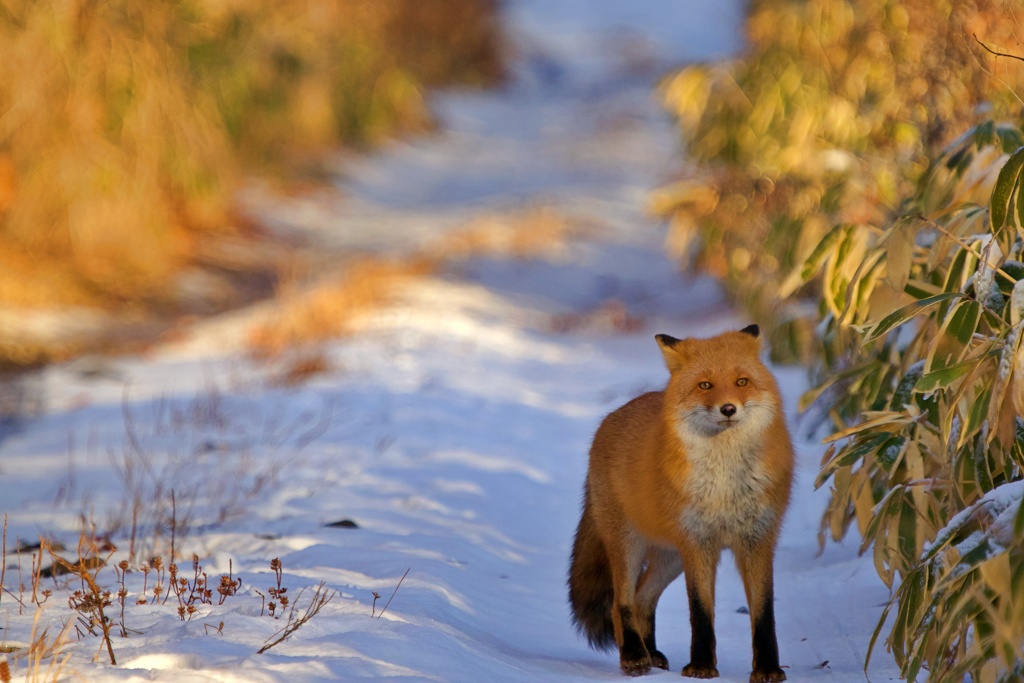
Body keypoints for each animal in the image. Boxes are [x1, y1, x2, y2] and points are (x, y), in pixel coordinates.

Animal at [569, 327, 790, 683]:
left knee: (643, 600)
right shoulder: (697, 543)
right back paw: (634, 656)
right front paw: (700, 666)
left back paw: (651, 653)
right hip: (629, 544)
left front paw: (768, 668)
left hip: (669, 558)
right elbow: (700, 612)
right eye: (705, 385)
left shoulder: (757, 540)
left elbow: (763, 614)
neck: (725, 485)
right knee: (622, 602)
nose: (729, 408)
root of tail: (611, 417)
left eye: (742, 381)